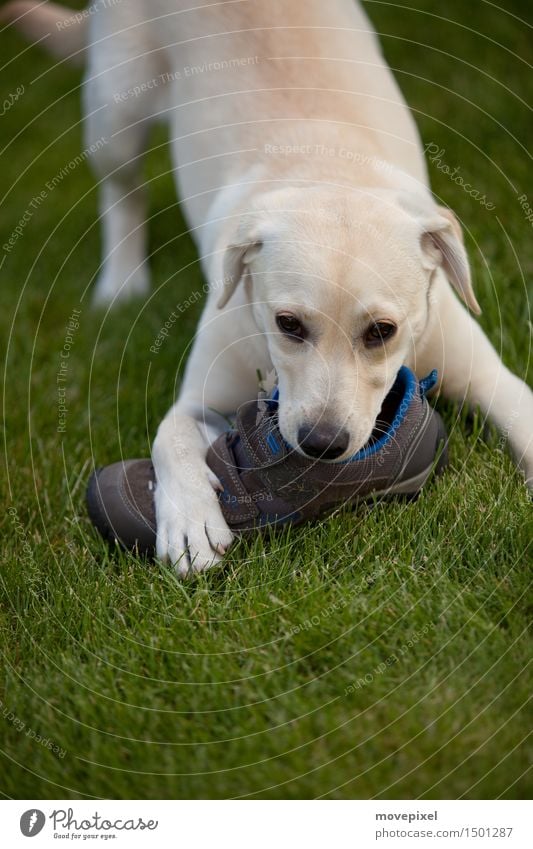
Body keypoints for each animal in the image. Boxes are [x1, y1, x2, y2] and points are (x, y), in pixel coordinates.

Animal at [5, 0, 532, 576]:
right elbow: (171, 436)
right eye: (287, 324)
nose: (322, 444)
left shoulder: (489, 374)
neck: (327, 171)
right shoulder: (200, 395)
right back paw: (122, 282)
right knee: (122, 189)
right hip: (116, 103)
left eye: (383, 331)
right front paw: (190, 522)